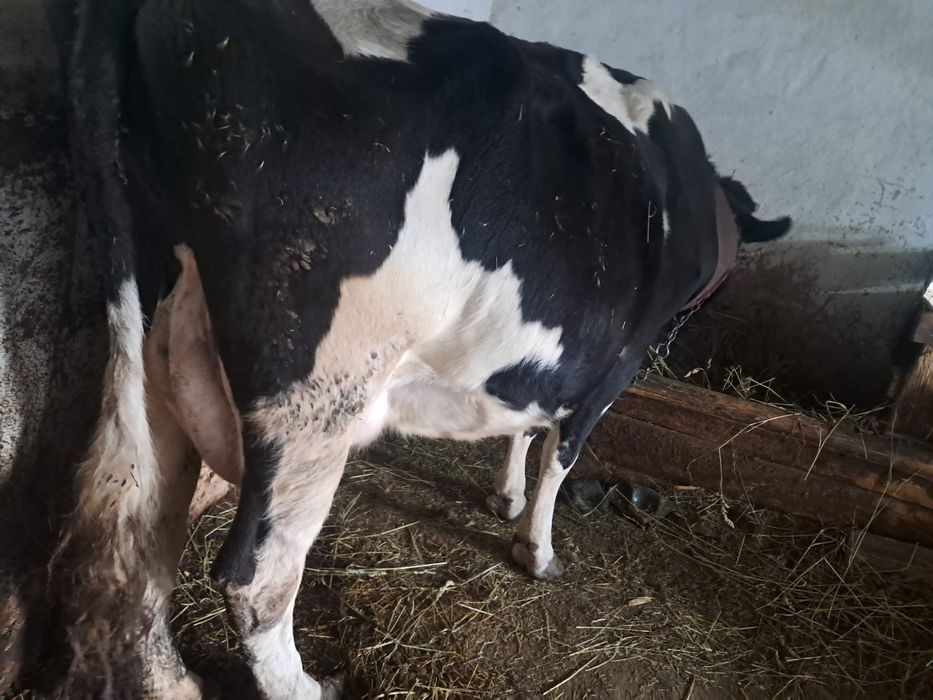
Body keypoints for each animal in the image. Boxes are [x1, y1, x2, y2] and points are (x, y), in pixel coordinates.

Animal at [53, 0, 790, 697]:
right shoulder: (613, 367)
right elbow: (561, 454)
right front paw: (536, 549)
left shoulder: (534, 362)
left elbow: (522, 424)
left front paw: (504, 496)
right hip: (317, 399)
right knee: (255, 574)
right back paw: (308, 685)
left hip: (152, 344)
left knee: (140, 531)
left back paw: (173, 682)